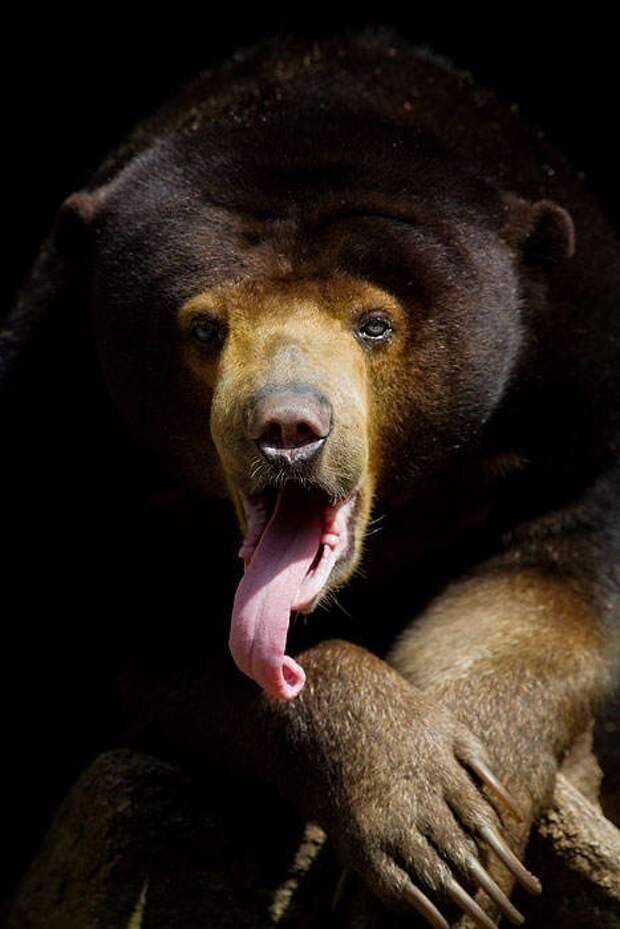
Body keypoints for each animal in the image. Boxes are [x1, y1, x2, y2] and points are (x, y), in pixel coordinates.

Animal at [2, 26, 619, 928]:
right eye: (203, 327)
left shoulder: (575, 401)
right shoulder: (64, 437)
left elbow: (547, 591)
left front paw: (478, 827)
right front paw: (418, 808)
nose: (288, 429)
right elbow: (145, 637)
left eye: (375, 323)